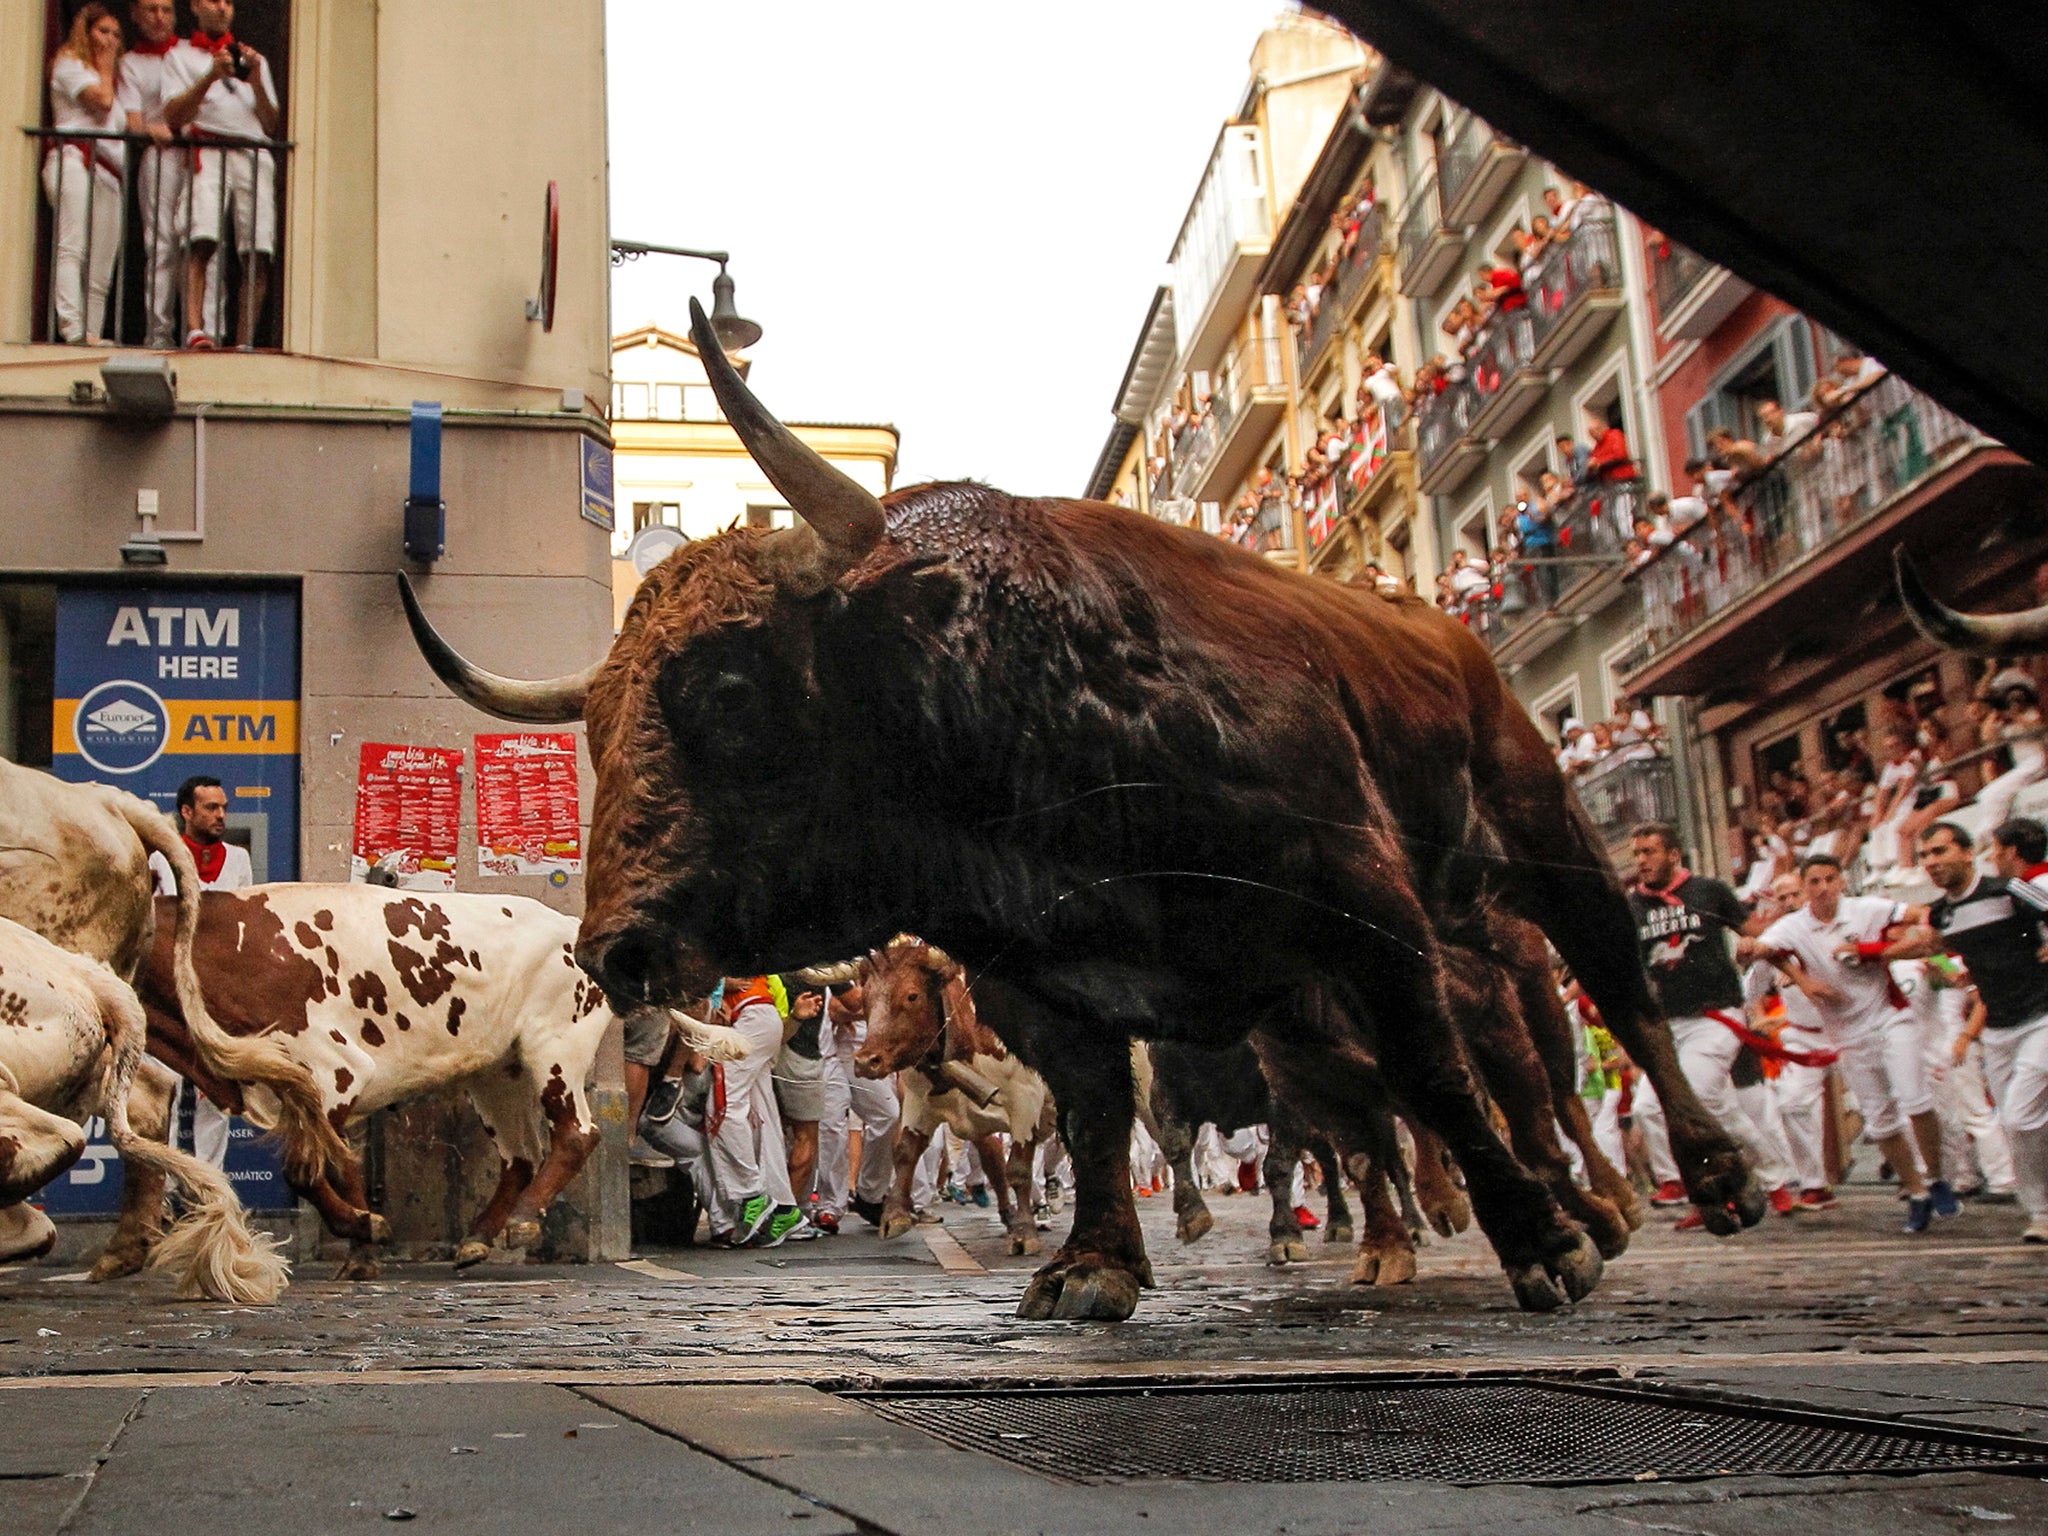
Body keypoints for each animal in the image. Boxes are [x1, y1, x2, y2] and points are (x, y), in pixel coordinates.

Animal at [399, 296, 1761, 1327]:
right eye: (592, 727)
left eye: (730, 690)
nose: (614, 948)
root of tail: (1438, 630)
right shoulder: (1048, 990)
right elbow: (1105, 1117)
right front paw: (1093, 1264)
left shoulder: (1358, 908)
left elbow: (1429, 1074)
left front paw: (1537, 1243)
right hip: (1418, 953)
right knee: (1516, 1059)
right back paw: (1577, 1202)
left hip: (1539, 835)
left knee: (1611, 1002)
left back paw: (1692, 1182)